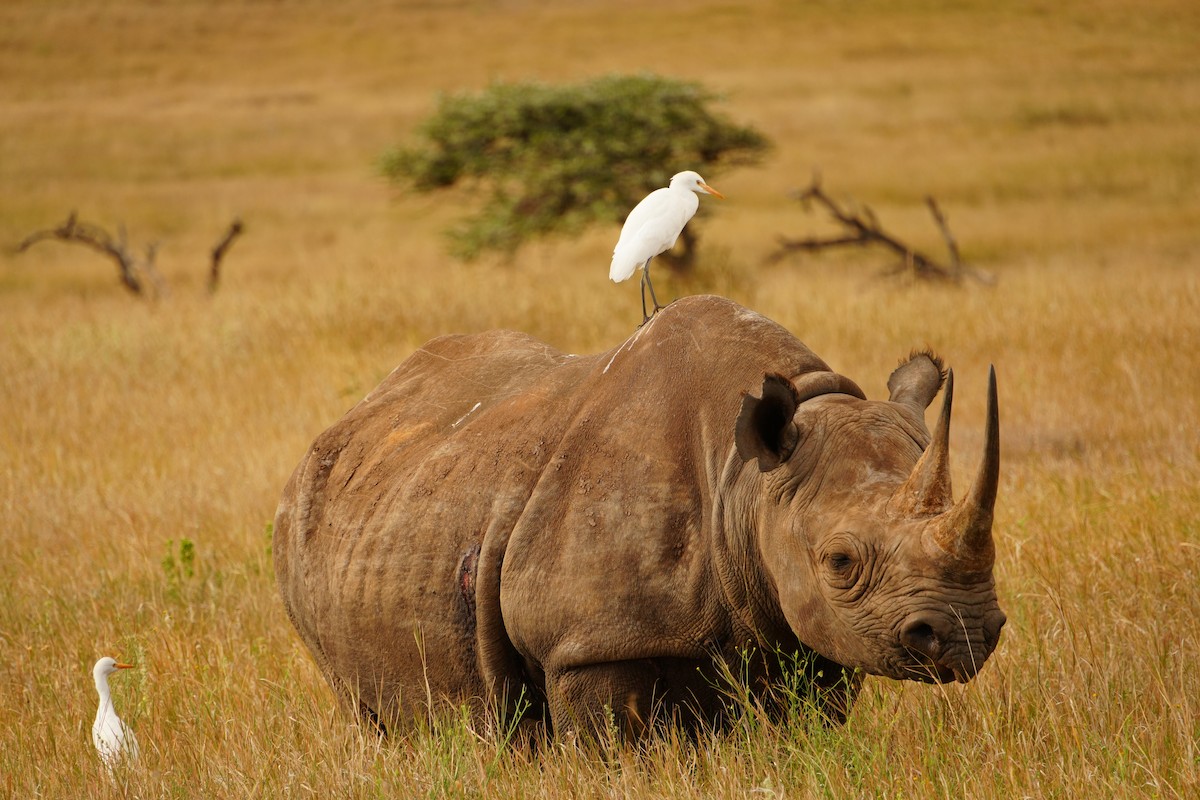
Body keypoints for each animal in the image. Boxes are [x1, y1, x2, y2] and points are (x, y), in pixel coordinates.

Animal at [273, 294, 1004, 739]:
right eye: (841, 561)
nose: (965, 633)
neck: (746, 483)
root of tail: (359, 411)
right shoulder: (586, 643)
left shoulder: (808, 628)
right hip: (307, 521)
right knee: (371, 715)